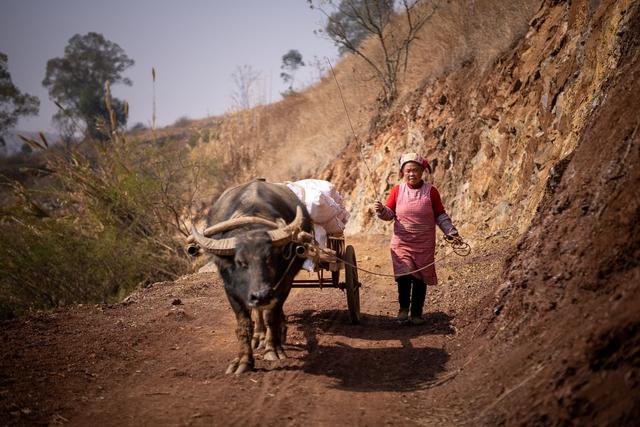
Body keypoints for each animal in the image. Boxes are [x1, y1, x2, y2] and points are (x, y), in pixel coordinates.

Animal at [190, 180, 312, 374]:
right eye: (241, 262)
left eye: (269, 258)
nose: (261, 295)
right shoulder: (231, 290)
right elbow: (244, 325)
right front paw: (243, 361)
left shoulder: (284, 284)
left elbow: (271, 316)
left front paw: (273, 348)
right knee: (257, 311)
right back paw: (259, 335)